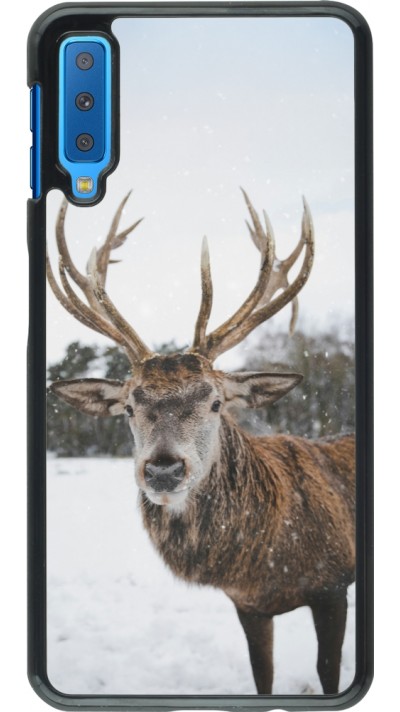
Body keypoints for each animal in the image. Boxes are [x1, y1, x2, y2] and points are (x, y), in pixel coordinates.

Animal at [47, 190, 355, 695]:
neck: (266, 564)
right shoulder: (247, 605)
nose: (163, 469)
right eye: (128, 407)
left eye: (215, 402)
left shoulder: (333, 585)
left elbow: (329, 672)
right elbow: (262, 676)